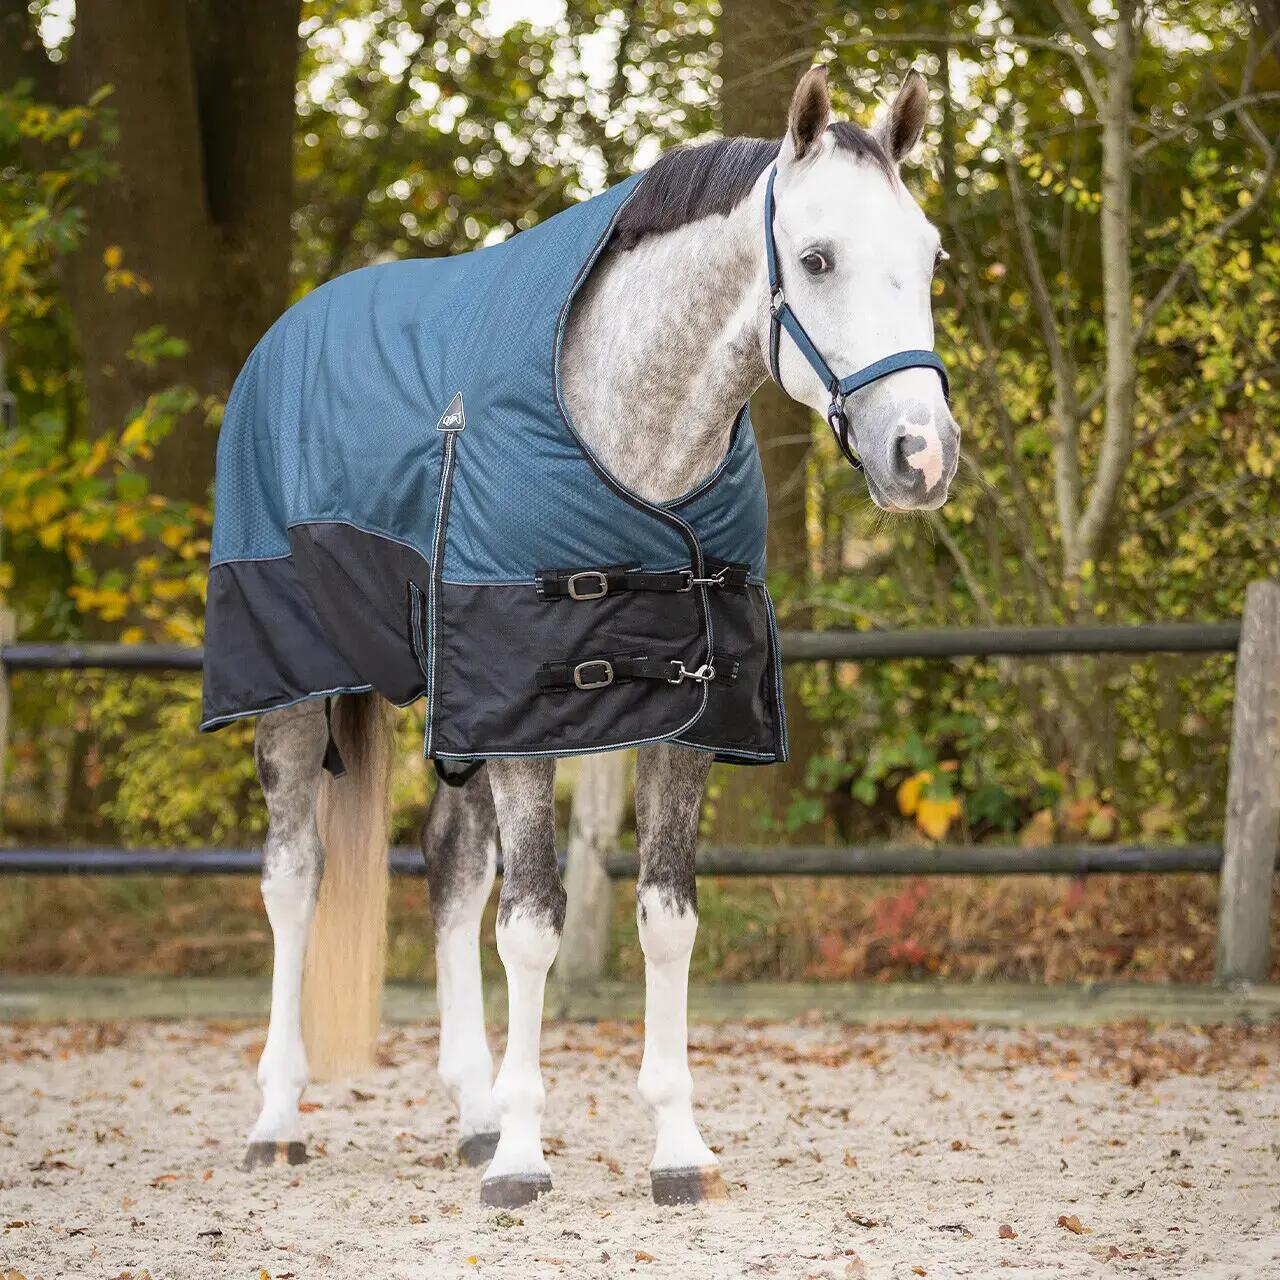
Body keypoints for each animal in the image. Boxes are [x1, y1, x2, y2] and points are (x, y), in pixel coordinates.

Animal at [236, 65, 960, 1208]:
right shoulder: (527, 714)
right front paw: (524, 1160)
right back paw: (278, 1118)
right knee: (293, 876)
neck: (632, 438)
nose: (921, 456)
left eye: (928, 255)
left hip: (456, 706)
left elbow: (665, 918)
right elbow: (532, 926)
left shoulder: (680, 716)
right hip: (292, 689)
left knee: (450, 869)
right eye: (815, 258)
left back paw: (472, 1112)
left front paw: (673, 1146)